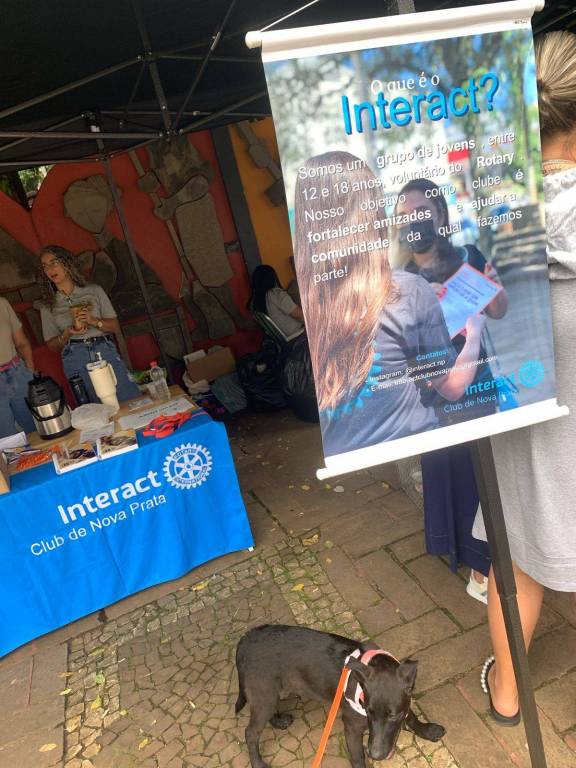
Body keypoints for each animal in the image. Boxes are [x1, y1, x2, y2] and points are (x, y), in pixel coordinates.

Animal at [235, 624, 445, 768]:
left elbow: (411, 716)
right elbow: (358, 758)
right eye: (368, 712)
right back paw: (258, 762)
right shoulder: (352, 729)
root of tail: (245, 638)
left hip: (270, 695)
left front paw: (427, 730)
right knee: (250, 732)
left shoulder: (404, 701)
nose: (375, 754)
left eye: (393, 715)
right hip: (264, 694)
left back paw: (278, 720)